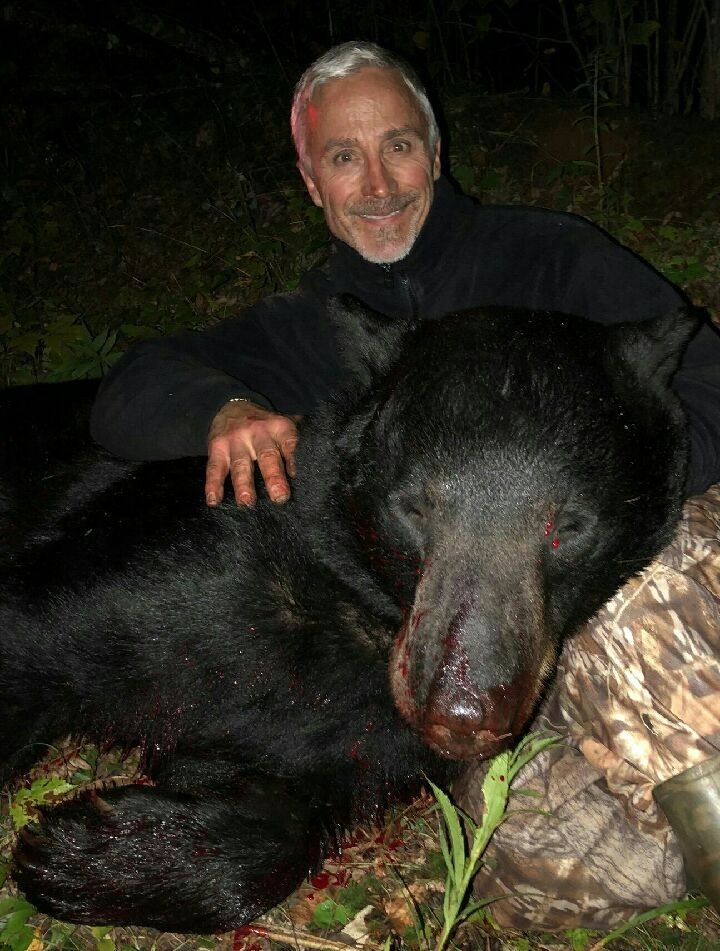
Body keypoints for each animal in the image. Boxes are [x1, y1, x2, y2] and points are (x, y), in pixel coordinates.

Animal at [0, 298, 697, 934]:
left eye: (569, 526)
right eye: (414, 507)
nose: (462, 711)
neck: (360, 609)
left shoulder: (365, 739)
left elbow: (281, 804)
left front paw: (85, 848)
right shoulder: (164, 562)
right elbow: (39, 630)